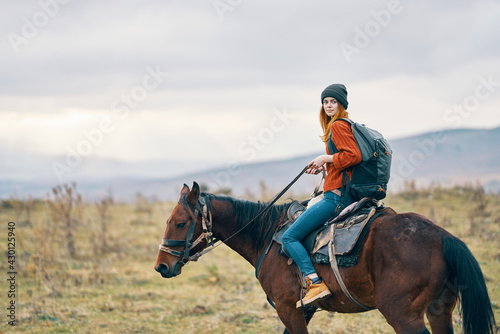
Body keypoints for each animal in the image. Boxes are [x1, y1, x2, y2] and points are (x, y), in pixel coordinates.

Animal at [153, 183, 496, 334]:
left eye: (180, 223)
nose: (162, 266)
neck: (267, 235)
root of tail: (443, 237)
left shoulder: (289, 309)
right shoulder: (302, 311)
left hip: (403, 315)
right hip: (439, 310)